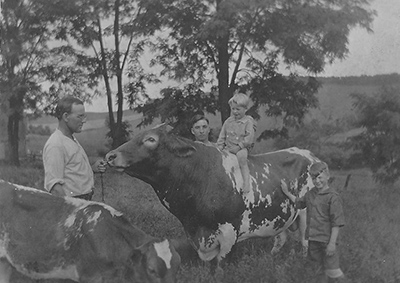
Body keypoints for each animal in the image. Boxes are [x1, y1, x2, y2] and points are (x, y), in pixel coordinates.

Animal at [105, 126, 318, 272]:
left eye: (151, 139)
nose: (110, 156)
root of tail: (308, 154)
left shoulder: (230, 230)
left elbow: (221, 264)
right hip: (282, 215)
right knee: (281, 237)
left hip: (306, 213)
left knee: (305, 240)